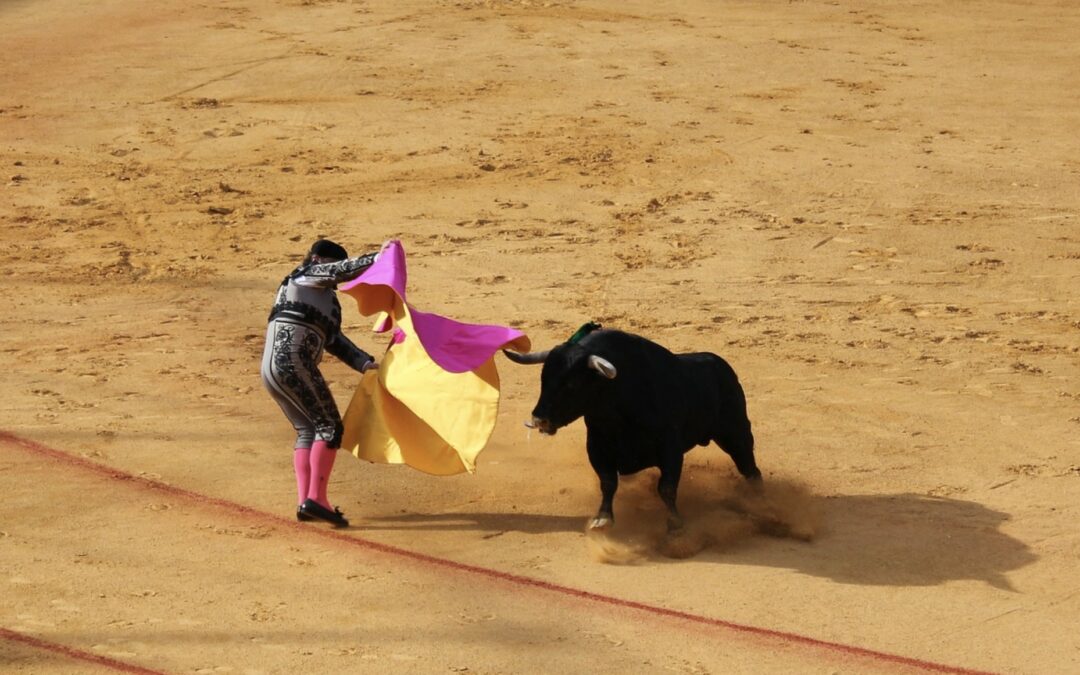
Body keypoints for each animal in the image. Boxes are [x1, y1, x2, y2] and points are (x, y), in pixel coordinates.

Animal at [503, 328, 760, 531]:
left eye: (572, 384)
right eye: (543, 379)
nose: (539, 419)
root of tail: (722, 366)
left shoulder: (670, 448)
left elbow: (666, 487)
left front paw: (675, 522)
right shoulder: (597, 447)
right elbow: (608, 483)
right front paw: (602, 519)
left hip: (736, 432)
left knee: (749, 467)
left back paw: (759, 500)